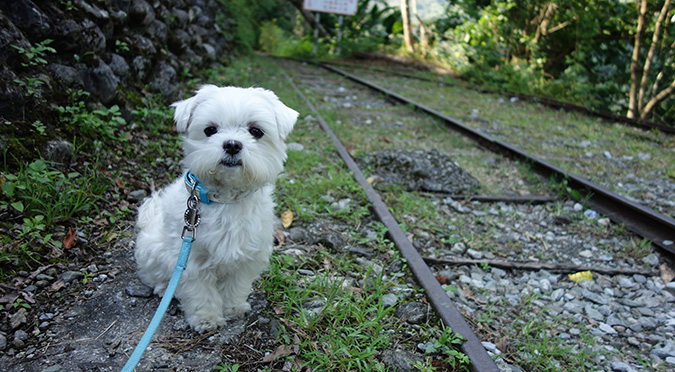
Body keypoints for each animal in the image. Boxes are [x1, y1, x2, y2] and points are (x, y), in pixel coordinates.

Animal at [133, 85, 298, 332]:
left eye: (256, 131)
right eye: (210, 130)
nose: (232, 144)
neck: (226, 199)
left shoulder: (249, 254)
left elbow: (236, 285)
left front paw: (233, 308)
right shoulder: (189, 258)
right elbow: (199, 292)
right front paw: (206, 318)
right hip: (153, 248)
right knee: (153, 275)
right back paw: (164, 288)